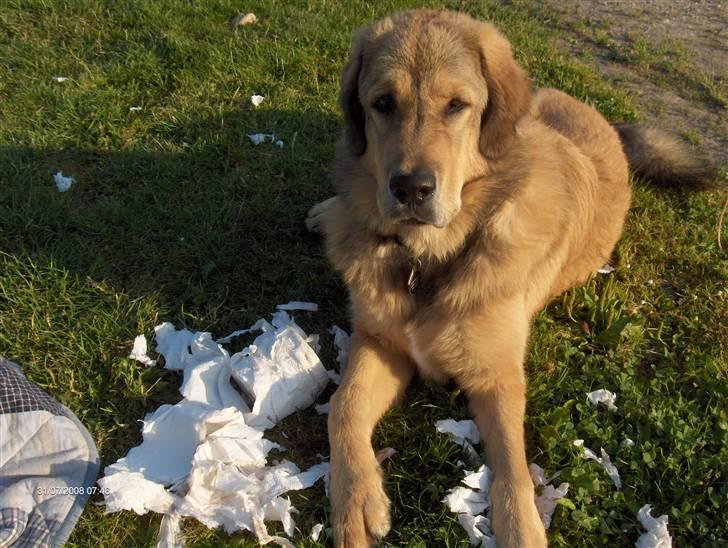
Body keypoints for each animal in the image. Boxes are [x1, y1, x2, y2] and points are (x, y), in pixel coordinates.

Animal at [308, 9, 712, 548]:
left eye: (457, 106)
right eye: (383, 103)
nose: (411, 189)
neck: (432, 257)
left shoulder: (496, 375)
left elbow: (514, 468)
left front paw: (521, 527)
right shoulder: (380, 340)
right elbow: (344, 405)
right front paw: (354, 499)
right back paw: (328, 213)